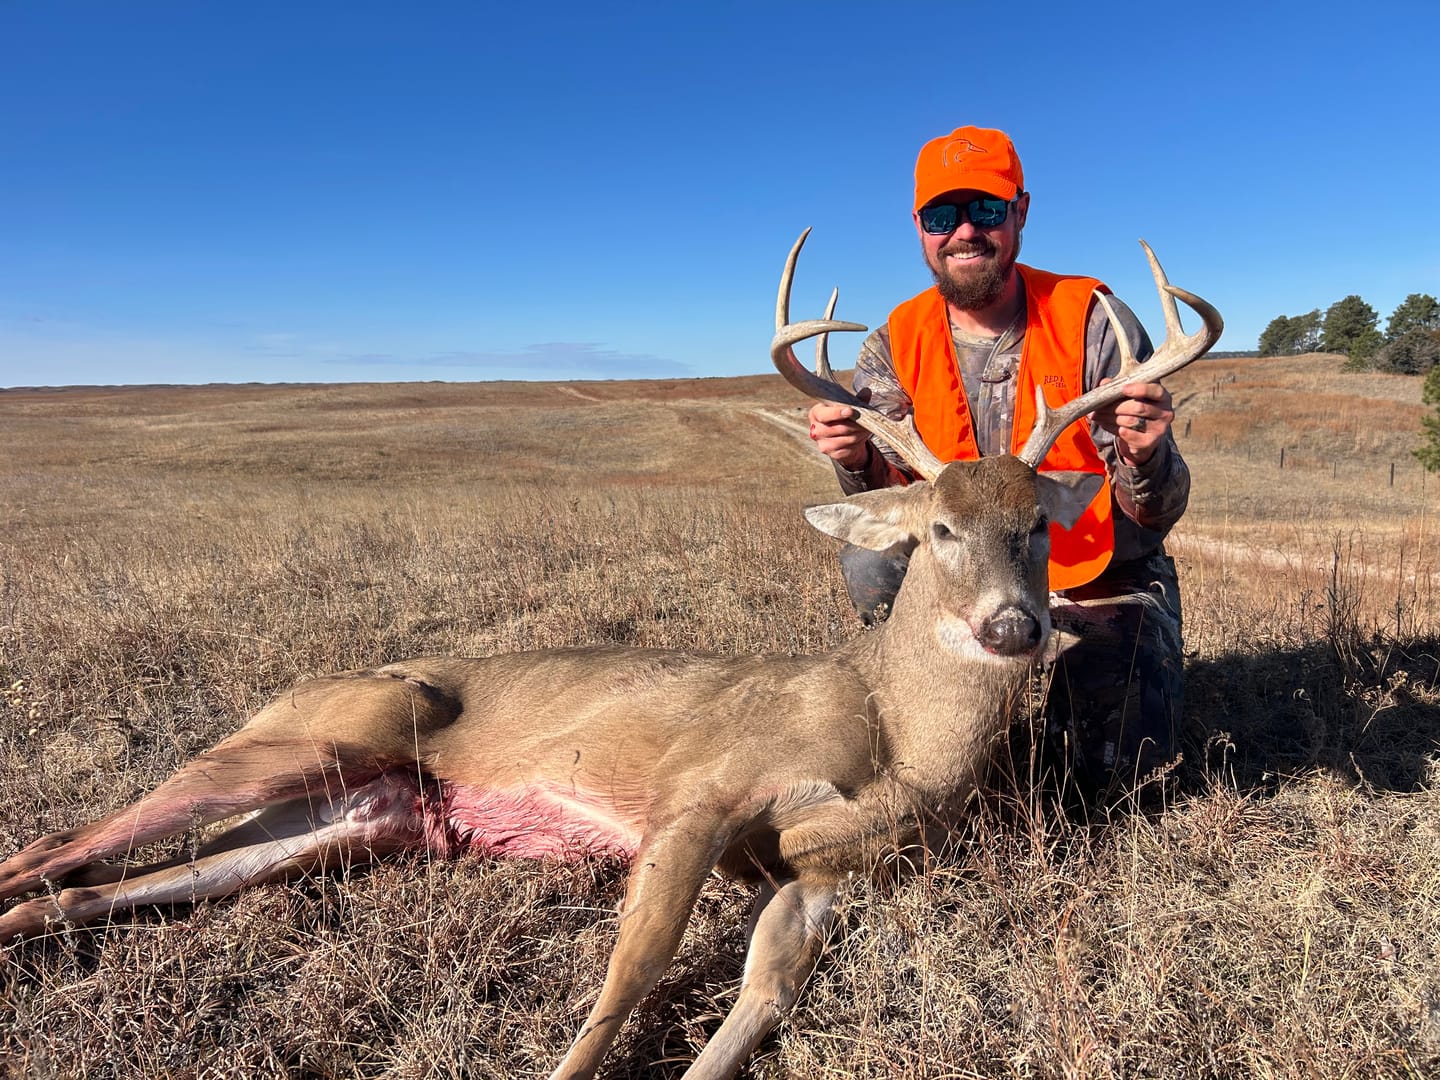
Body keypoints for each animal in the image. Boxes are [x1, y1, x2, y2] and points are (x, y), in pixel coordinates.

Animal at [0, 232, 1221, 1080]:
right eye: (937, 529)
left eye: (1036, 527)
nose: (1014, 627)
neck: (894, 741)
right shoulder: (703, 789)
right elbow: (628, 978)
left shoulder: (827, 881)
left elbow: (753, 1010)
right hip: (310, 736)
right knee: (56, 843)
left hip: (341, 822)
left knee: (97, 885)